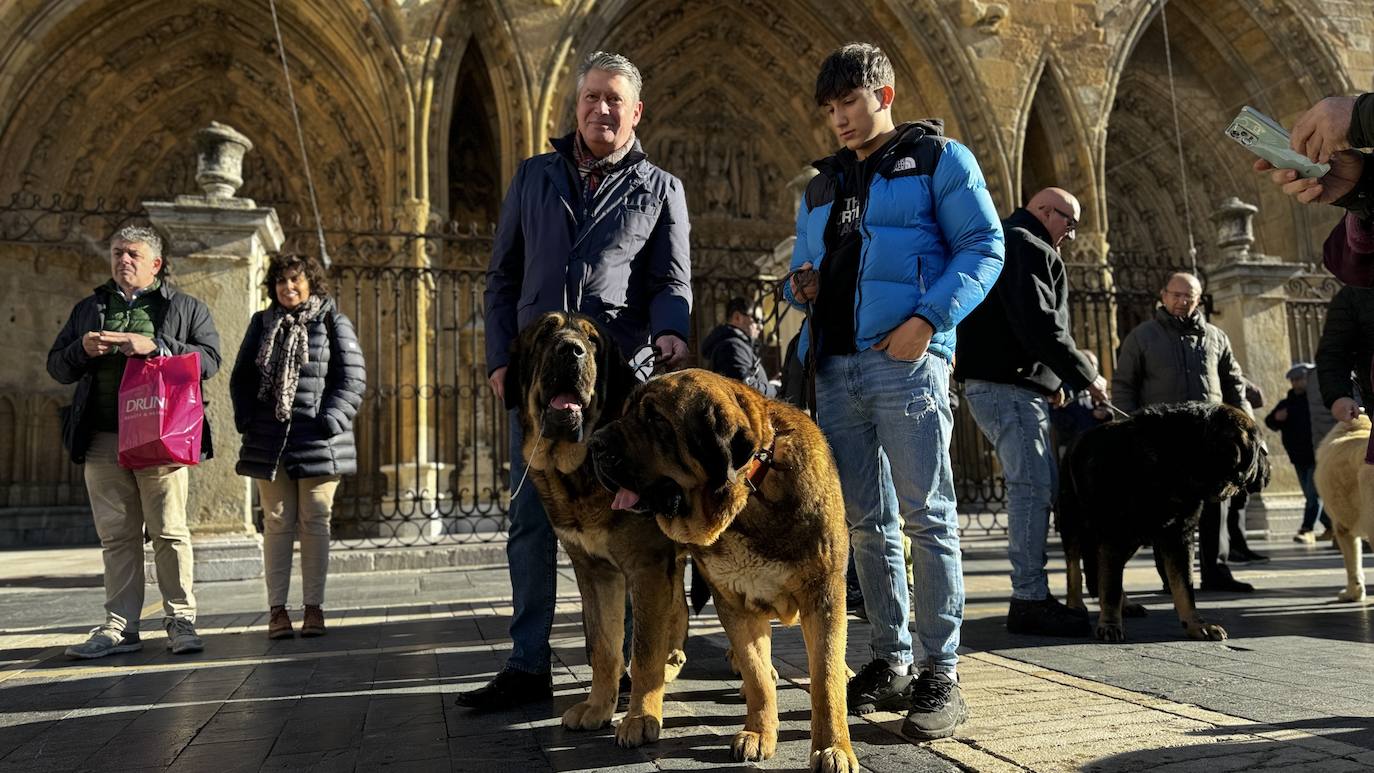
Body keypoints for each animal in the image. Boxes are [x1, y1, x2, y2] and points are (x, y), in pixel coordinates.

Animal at [505, 311, 687, 746]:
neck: (581, 470)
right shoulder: (595, 571)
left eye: (592, 341)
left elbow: (643, 650)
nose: (570, 350)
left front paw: (640, 717)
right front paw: (599, 708)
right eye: (545, 333)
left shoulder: (647, 567)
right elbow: (604, 647)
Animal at [590, 367, 857, 773]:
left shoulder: (823, 592)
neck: (749, 494)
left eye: (655, 419)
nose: (595, 444)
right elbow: (756, 672)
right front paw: (759, 732)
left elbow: (825, 677)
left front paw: (833, 748)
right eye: (628, 412)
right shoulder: (733, 603)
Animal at [1055, 403, 1269, 645]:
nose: (1268, 468)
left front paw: (1196, 625)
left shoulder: (1180, 537)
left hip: (1131, 542)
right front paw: (1109, 624)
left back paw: (1126, 605)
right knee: (1075, 567)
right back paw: (1075, 606)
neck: (1177, 463)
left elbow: (1185, 586)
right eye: (1260, 450)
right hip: (1073, 522)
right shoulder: (1115, 536)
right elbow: (1109, 587)